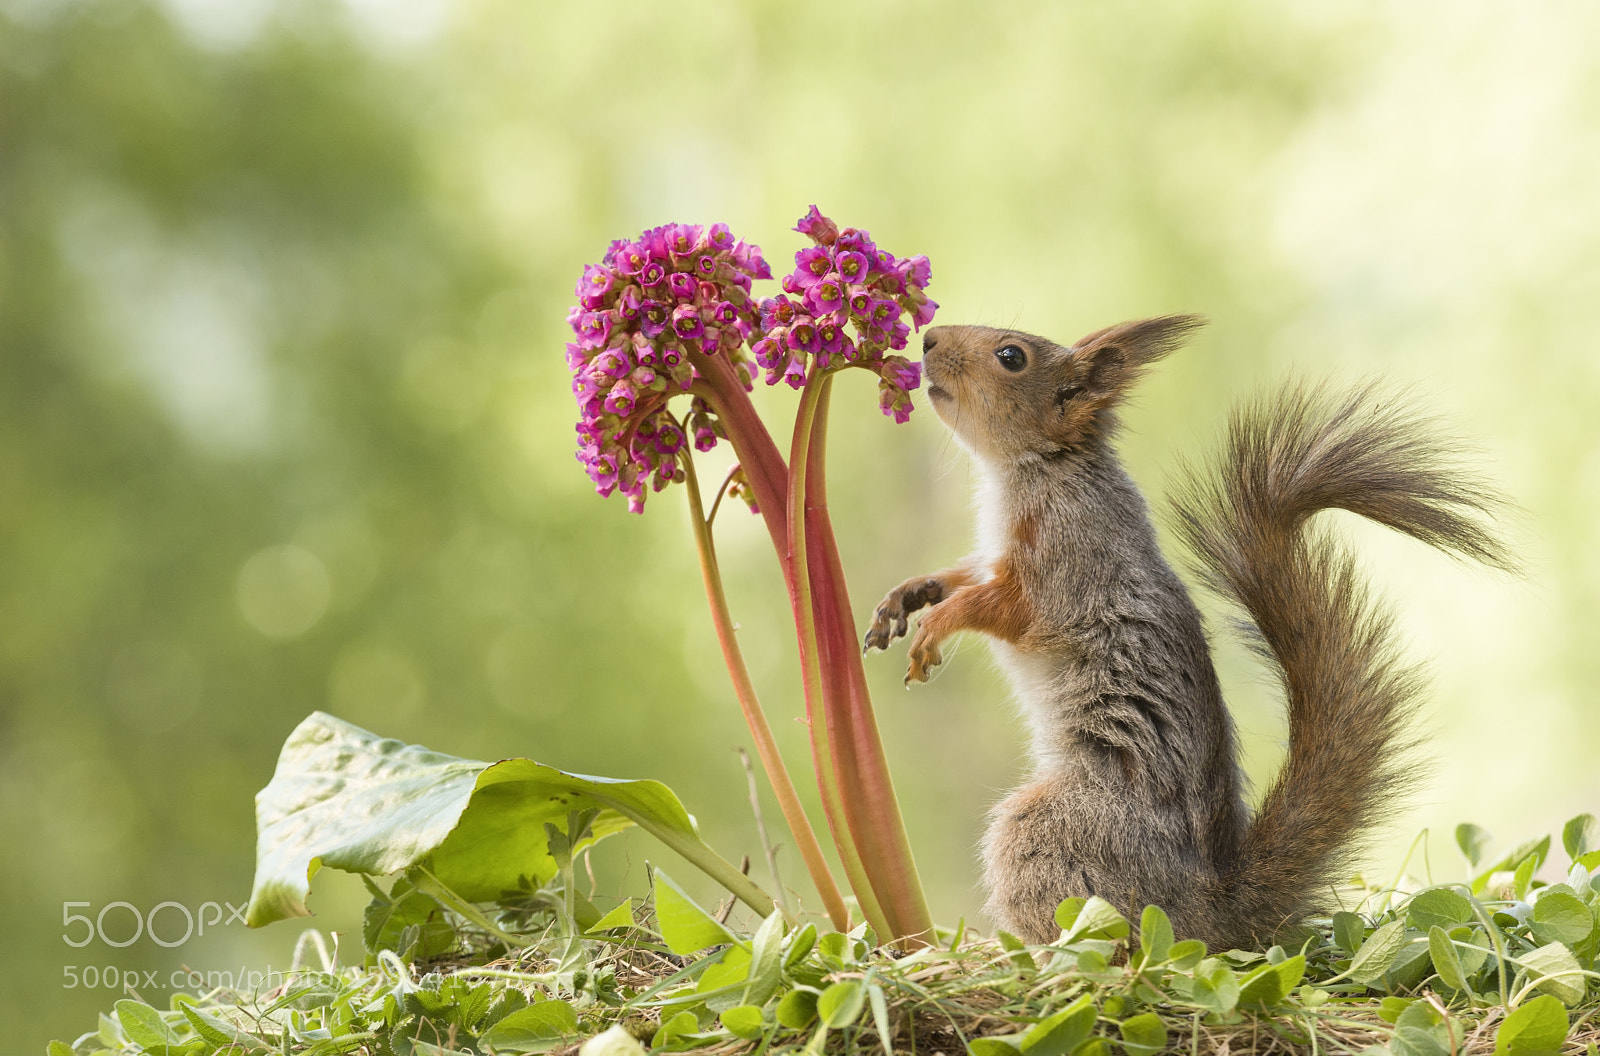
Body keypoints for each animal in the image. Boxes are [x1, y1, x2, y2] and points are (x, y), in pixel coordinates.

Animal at [864, 316, 1515, 950]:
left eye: (1011, 357)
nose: (928, 338)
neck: (1041, 465)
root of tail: (1211, 909)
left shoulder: (1067, 558)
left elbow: (1005, 607)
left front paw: (935, 627)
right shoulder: (992, 557)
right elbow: (965, 576)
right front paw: (909, 596)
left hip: (1047, 835)